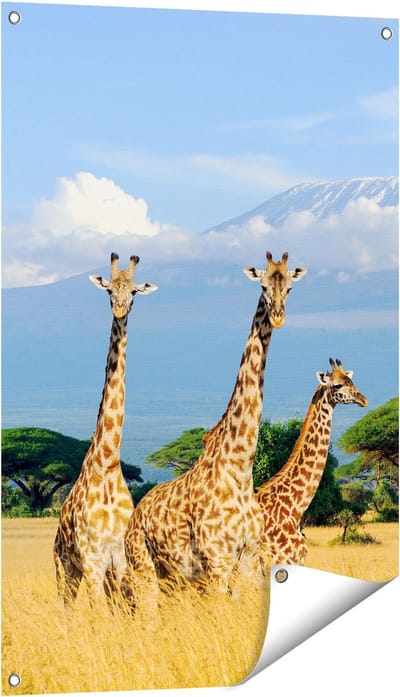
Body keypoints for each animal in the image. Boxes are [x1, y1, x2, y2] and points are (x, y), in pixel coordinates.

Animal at [53, 253, 157, 606]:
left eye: (135, 292)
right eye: (109, 290)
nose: (120, 309)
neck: (109, 463)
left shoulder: (121, 561)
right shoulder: (93, 561)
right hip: (64, 568)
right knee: (66, 609)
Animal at [122, 251, 307, 604]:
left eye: (290, 287)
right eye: (263, 285)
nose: (278, 317)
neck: (239, 469)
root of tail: (135, 516)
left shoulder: (248, 559)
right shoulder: (217, 560)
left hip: (174, 578)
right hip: (144, 567)